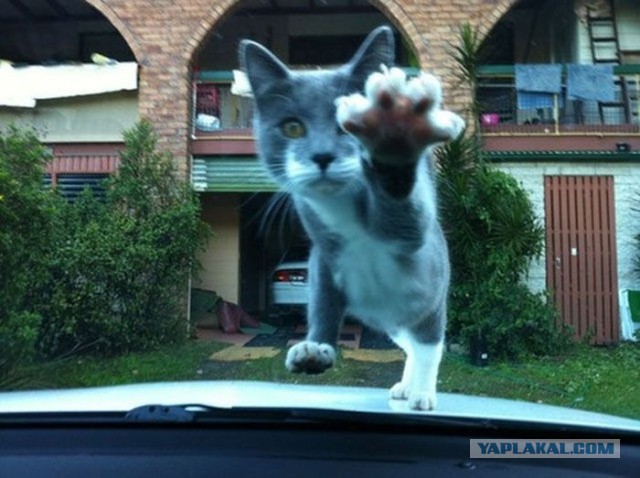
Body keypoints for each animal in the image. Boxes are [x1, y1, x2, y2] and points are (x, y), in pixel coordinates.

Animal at [238, 26, 462, 408]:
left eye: (347, 127)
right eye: (292, 127)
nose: (322, 156)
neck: (342, 208)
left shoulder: (418, 244)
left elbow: (406, 221)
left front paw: (395, 135)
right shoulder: (324, 256)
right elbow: (322, 300)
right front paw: (314, 349)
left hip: (428, 298)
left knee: (428, 345)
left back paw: (421, 393)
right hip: (394, 322)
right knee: (409, 347)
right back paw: (404, 386)